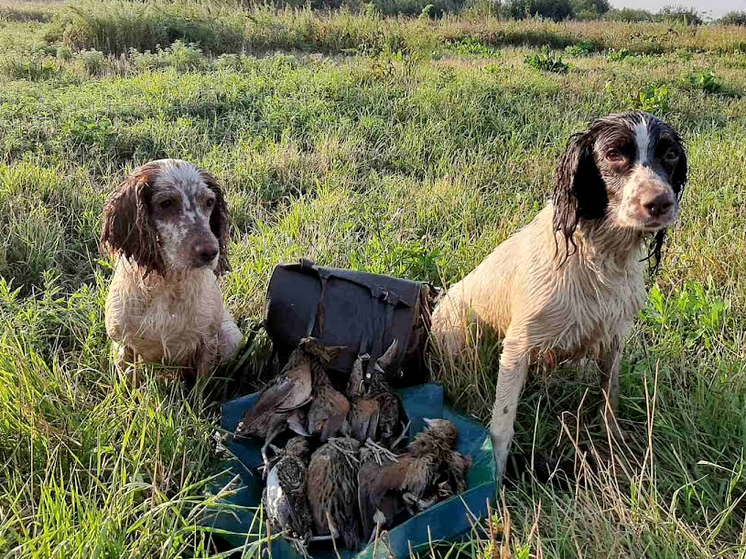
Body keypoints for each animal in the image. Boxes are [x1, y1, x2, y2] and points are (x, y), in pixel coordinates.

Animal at [99, 159, 241, 376]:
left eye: (209, 202)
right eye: (166, 203)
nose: (210, 252)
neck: (167, 283)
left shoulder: (207, 342)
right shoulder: (123, 346)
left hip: (231, 337)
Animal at [430, 111, 684, 480]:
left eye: (670, 154)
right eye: (614, 154)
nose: (660, 203)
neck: (599, 255)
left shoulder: (613, 337)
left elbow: (610, 397)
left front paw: (615, 443)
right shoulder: (517, 347)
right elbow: (501, 426)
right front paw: (497, 478)